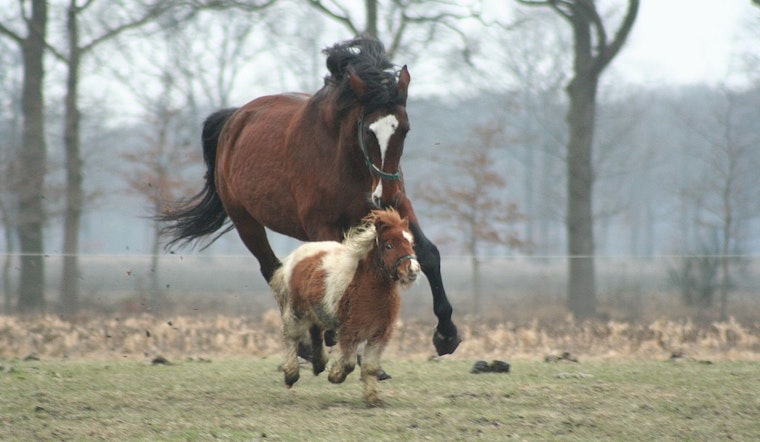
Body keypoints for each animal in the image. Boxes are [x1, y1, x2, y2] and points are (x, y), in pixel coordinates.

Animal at [158, 36, 461, 359]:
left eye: (404, 129)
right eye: (368, 131)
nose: (385, 196)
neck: (347, 162)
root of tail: (234, 120)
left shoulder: (398, 210)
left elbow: (428, 254)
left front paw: (446, 334)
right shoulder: (322, 225)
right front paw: (335, 336)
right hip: (246, 222)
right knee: (272, 270)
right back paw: (305, 341)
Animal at [270, 208, 420, 405]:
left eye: (411, 243)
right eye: (389, 246)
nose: (413, 270)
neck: (367, 287)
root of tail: (295, 256)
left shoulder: (380, 333)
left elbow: (371, 367)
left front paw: (372, 399)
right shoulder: (350, 331)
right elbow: (349, 363)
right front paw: (335, 375)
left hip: (316, 311)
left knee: (315, 332)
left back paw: (318, 364)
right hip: (296, 312)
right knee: (291, 337)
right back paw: (291, 375)